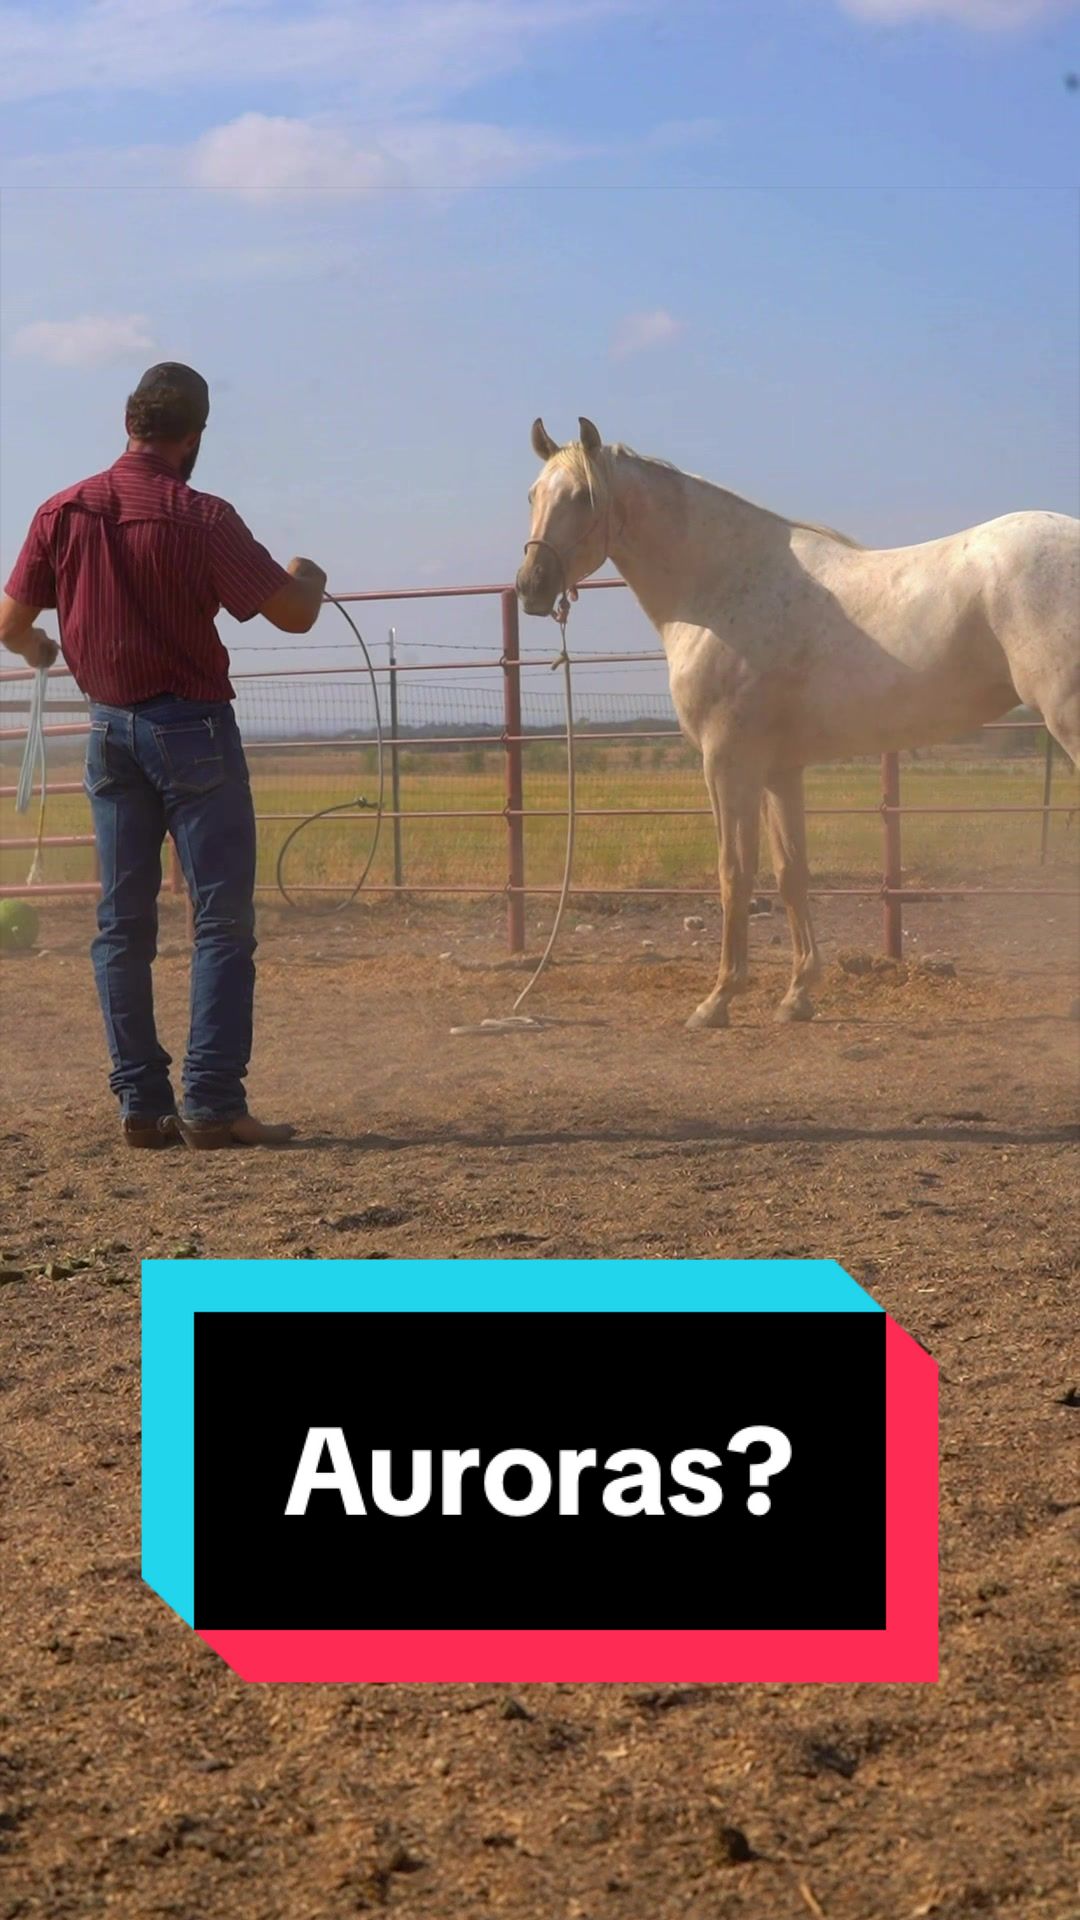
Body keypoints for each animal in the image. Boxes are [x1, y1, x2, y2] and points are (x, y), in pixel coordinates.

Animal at [516, 417, 1080, 1029]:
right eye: (533, 495)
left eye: (583, 497)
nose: (530, 586)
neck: (724, 586)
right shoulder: (780, 770)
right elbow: (791, 872)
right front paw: (798, 994)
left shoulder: (727, 763)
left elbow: (734, 874)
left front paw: (718, 999)